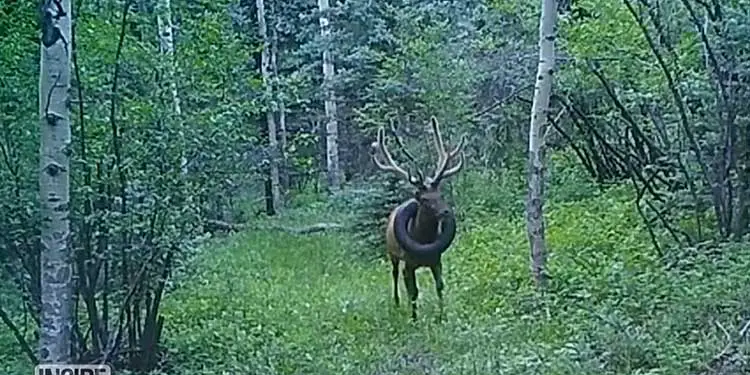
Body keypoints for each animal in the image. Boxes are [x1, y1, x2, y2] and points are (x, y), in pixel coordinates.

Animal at [374, 117, 468, 320]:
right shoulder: (408, 264)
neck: (423, 239)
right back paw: (397, 302)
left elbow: (440, 287)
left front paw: (442, 317)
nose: (446, 212)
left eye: (440, 194)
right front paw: (414, 319)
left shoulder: (436, 260)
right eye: (425, 200)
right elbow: (413, 292)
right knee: (394, 275)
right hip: (392, 253)